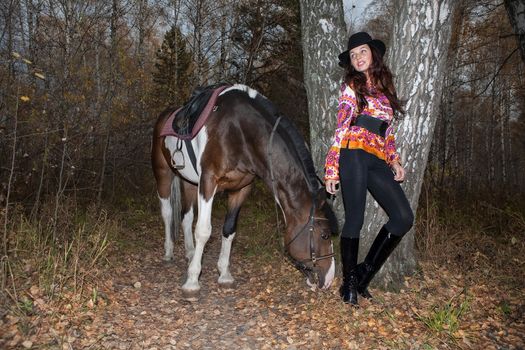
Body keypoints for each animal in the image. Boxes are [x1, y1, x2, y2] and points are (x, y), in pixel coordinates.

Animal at [151, 84, 338, 296]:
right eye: (324, 235)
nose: (329, 279)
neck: (240, 133)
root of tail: (166, 115)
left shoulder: (241, 188)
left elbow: (229, 230)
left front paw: (224, 274)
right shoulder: (208, 181)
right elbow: (204, 230)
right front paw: (192, 281)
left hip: (189, 182)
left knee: (186, 216)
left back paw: (190, 253)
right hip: (163, 174)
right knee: (167, 213)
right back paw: (169, 252)